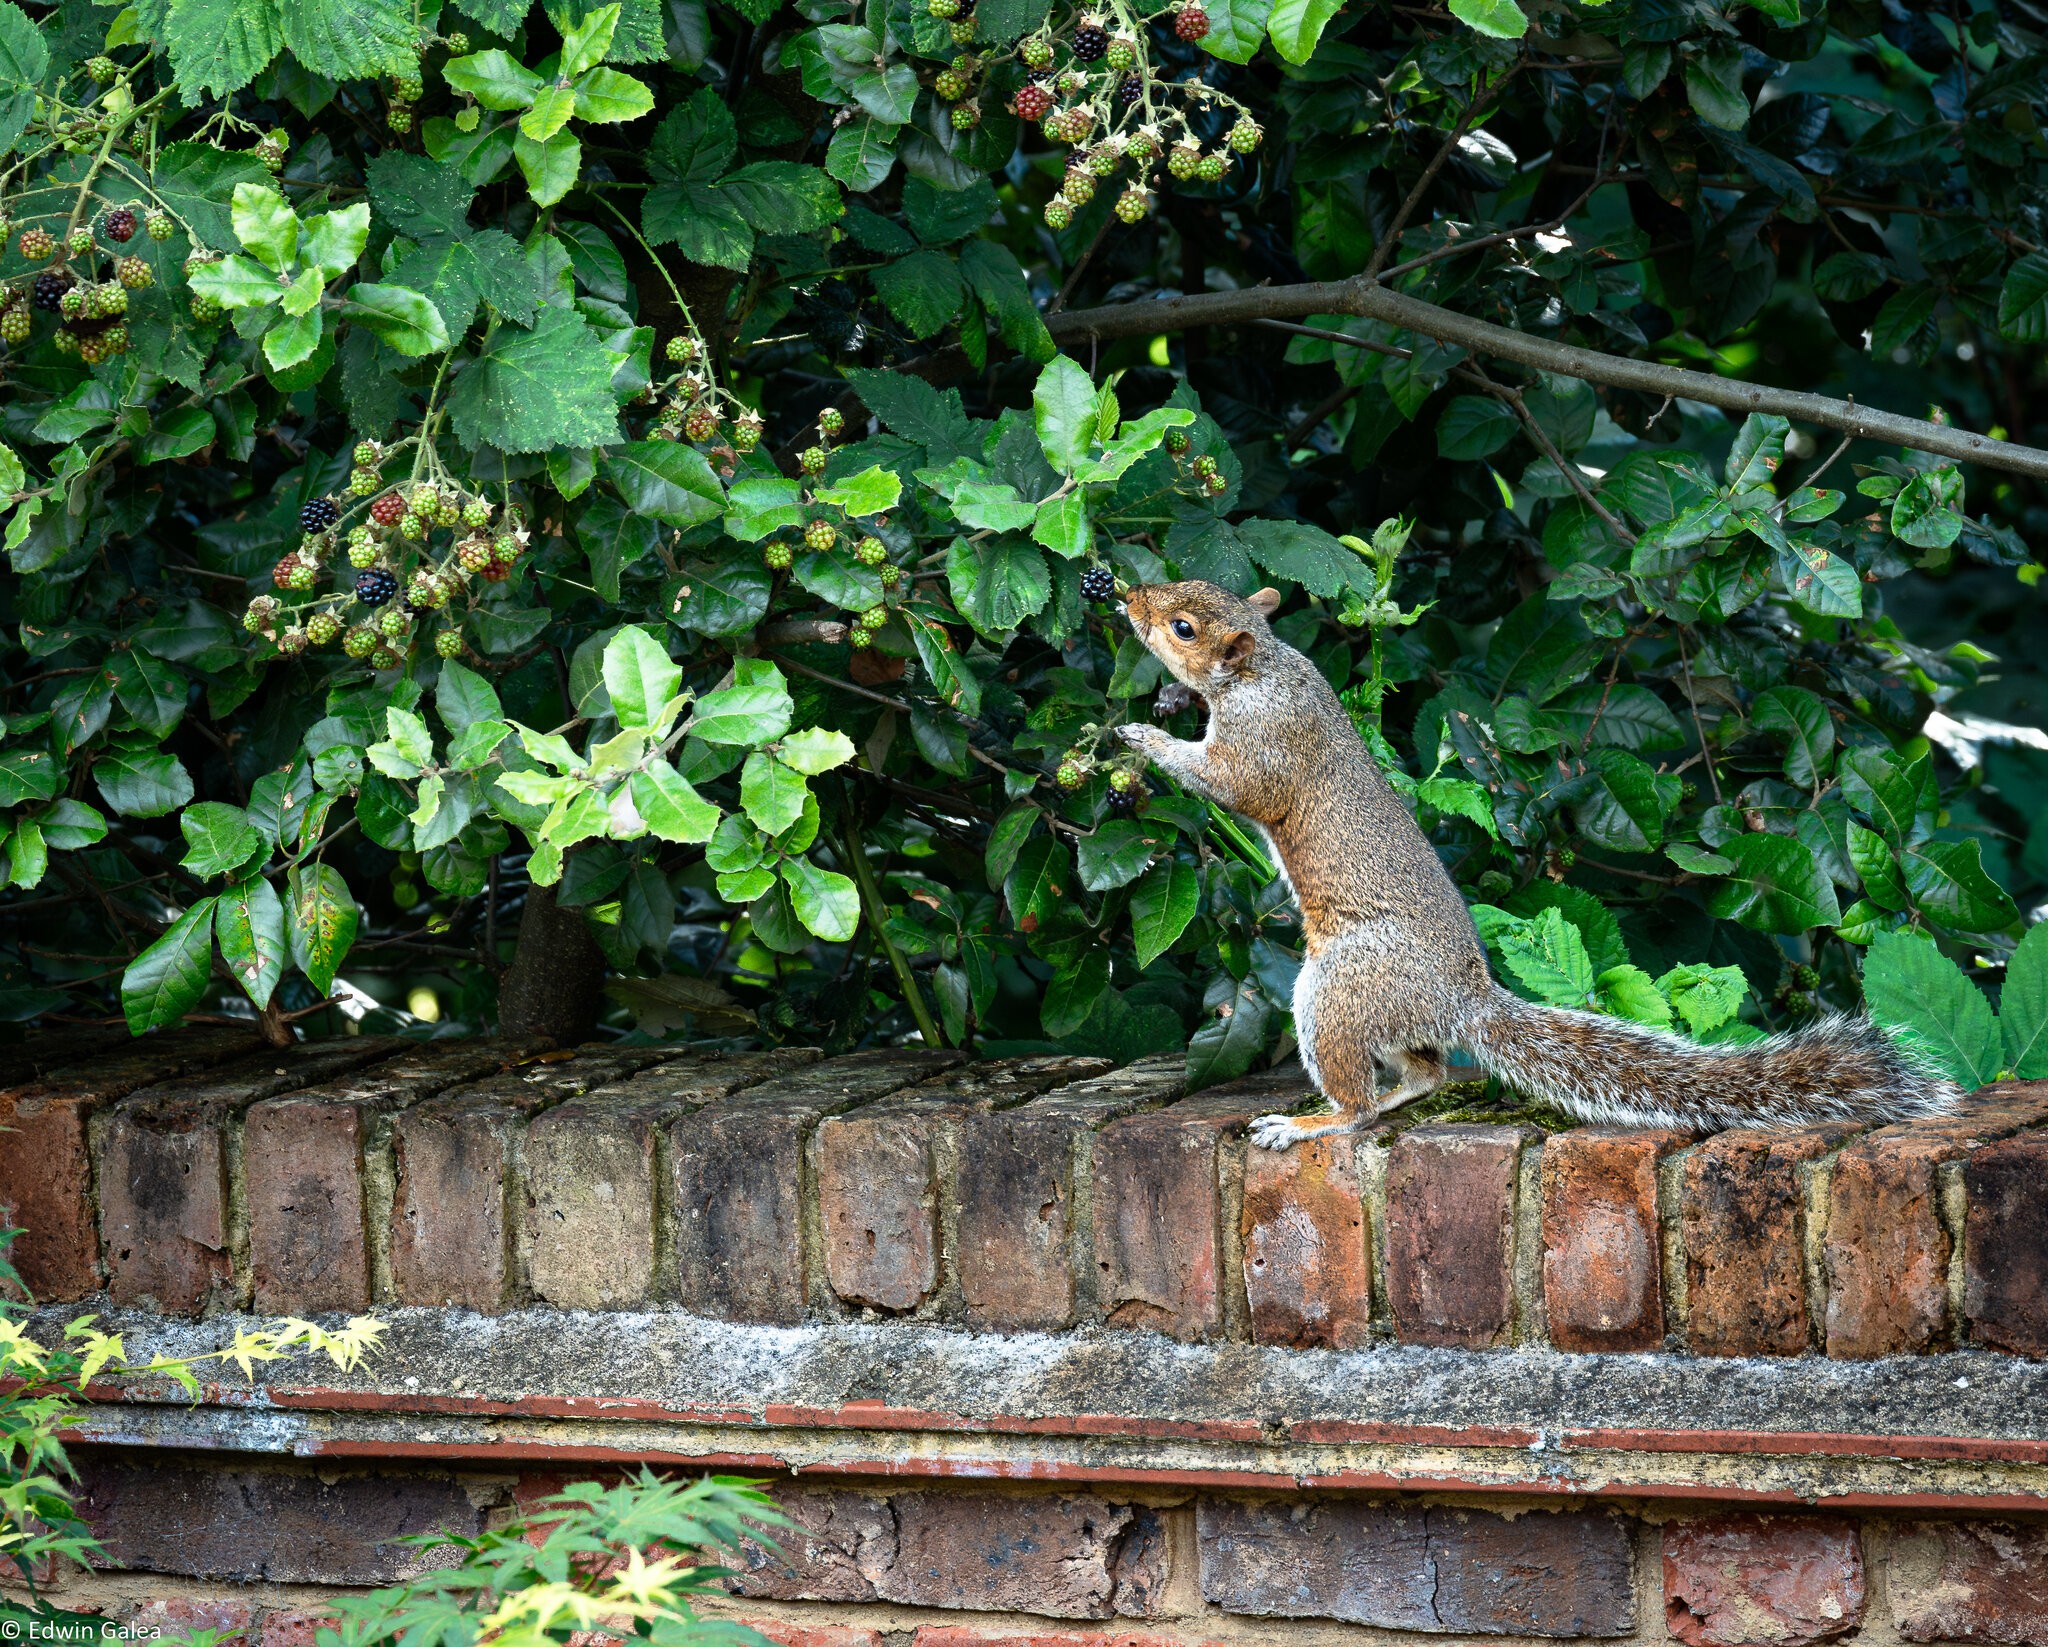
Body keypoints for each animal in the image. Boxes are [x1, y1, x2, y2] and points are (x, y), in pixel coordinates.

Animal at [1122, 577, 1966, 1147]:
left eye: (1184, 625)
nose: (1127, 599)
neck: (1265, 669)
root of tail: (1464, 1001)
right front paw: (1164, 706)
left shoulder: (1267, 745)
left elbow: (1235, 785)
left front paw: (1145, 736)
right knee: (1425, 1075)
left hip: (1340, 988)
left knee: (1361, 1099)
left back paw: (1312, 1124)